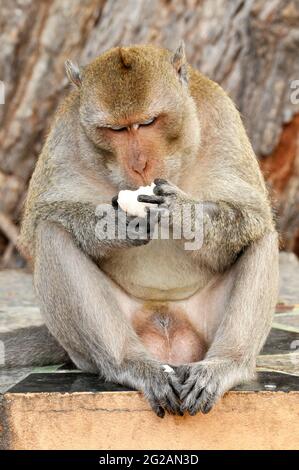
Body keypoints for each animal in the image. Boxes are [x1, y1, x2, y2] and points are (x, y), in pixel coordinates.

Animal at [1, 43, 280, 418]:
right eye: (116, 130)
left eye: (148, 122)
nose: (139, 164)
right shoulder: (65, 131)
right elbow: (39, 221)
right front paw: (112, 226)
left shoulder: (220, 114)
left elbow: (251, 214)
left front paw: (183, 213)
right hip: (91, 349)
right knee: (52, 234)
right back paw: (129, 364)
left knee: (260, 235)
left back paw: (226, 364)